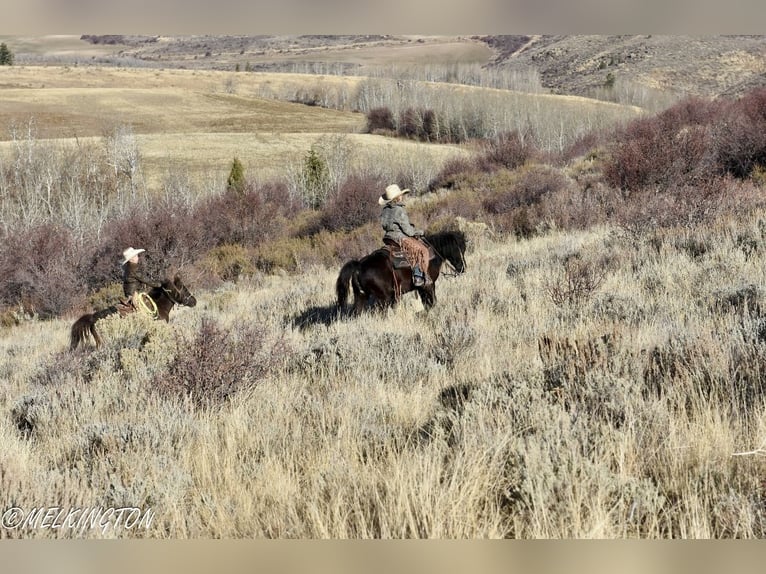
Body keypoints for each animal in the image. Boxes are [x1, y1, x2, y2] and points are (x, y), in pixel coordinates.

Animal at [338, 231, 468, 316]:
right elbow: (432, 302)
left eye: (464, 249)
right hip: (383, 299)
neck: (432, 254)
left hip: (361, 296)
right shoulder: (429, 285)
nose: (462, 268)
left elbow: (426, 303)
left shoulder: (420, 288)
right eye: (458, 249)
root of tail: (359, 265)